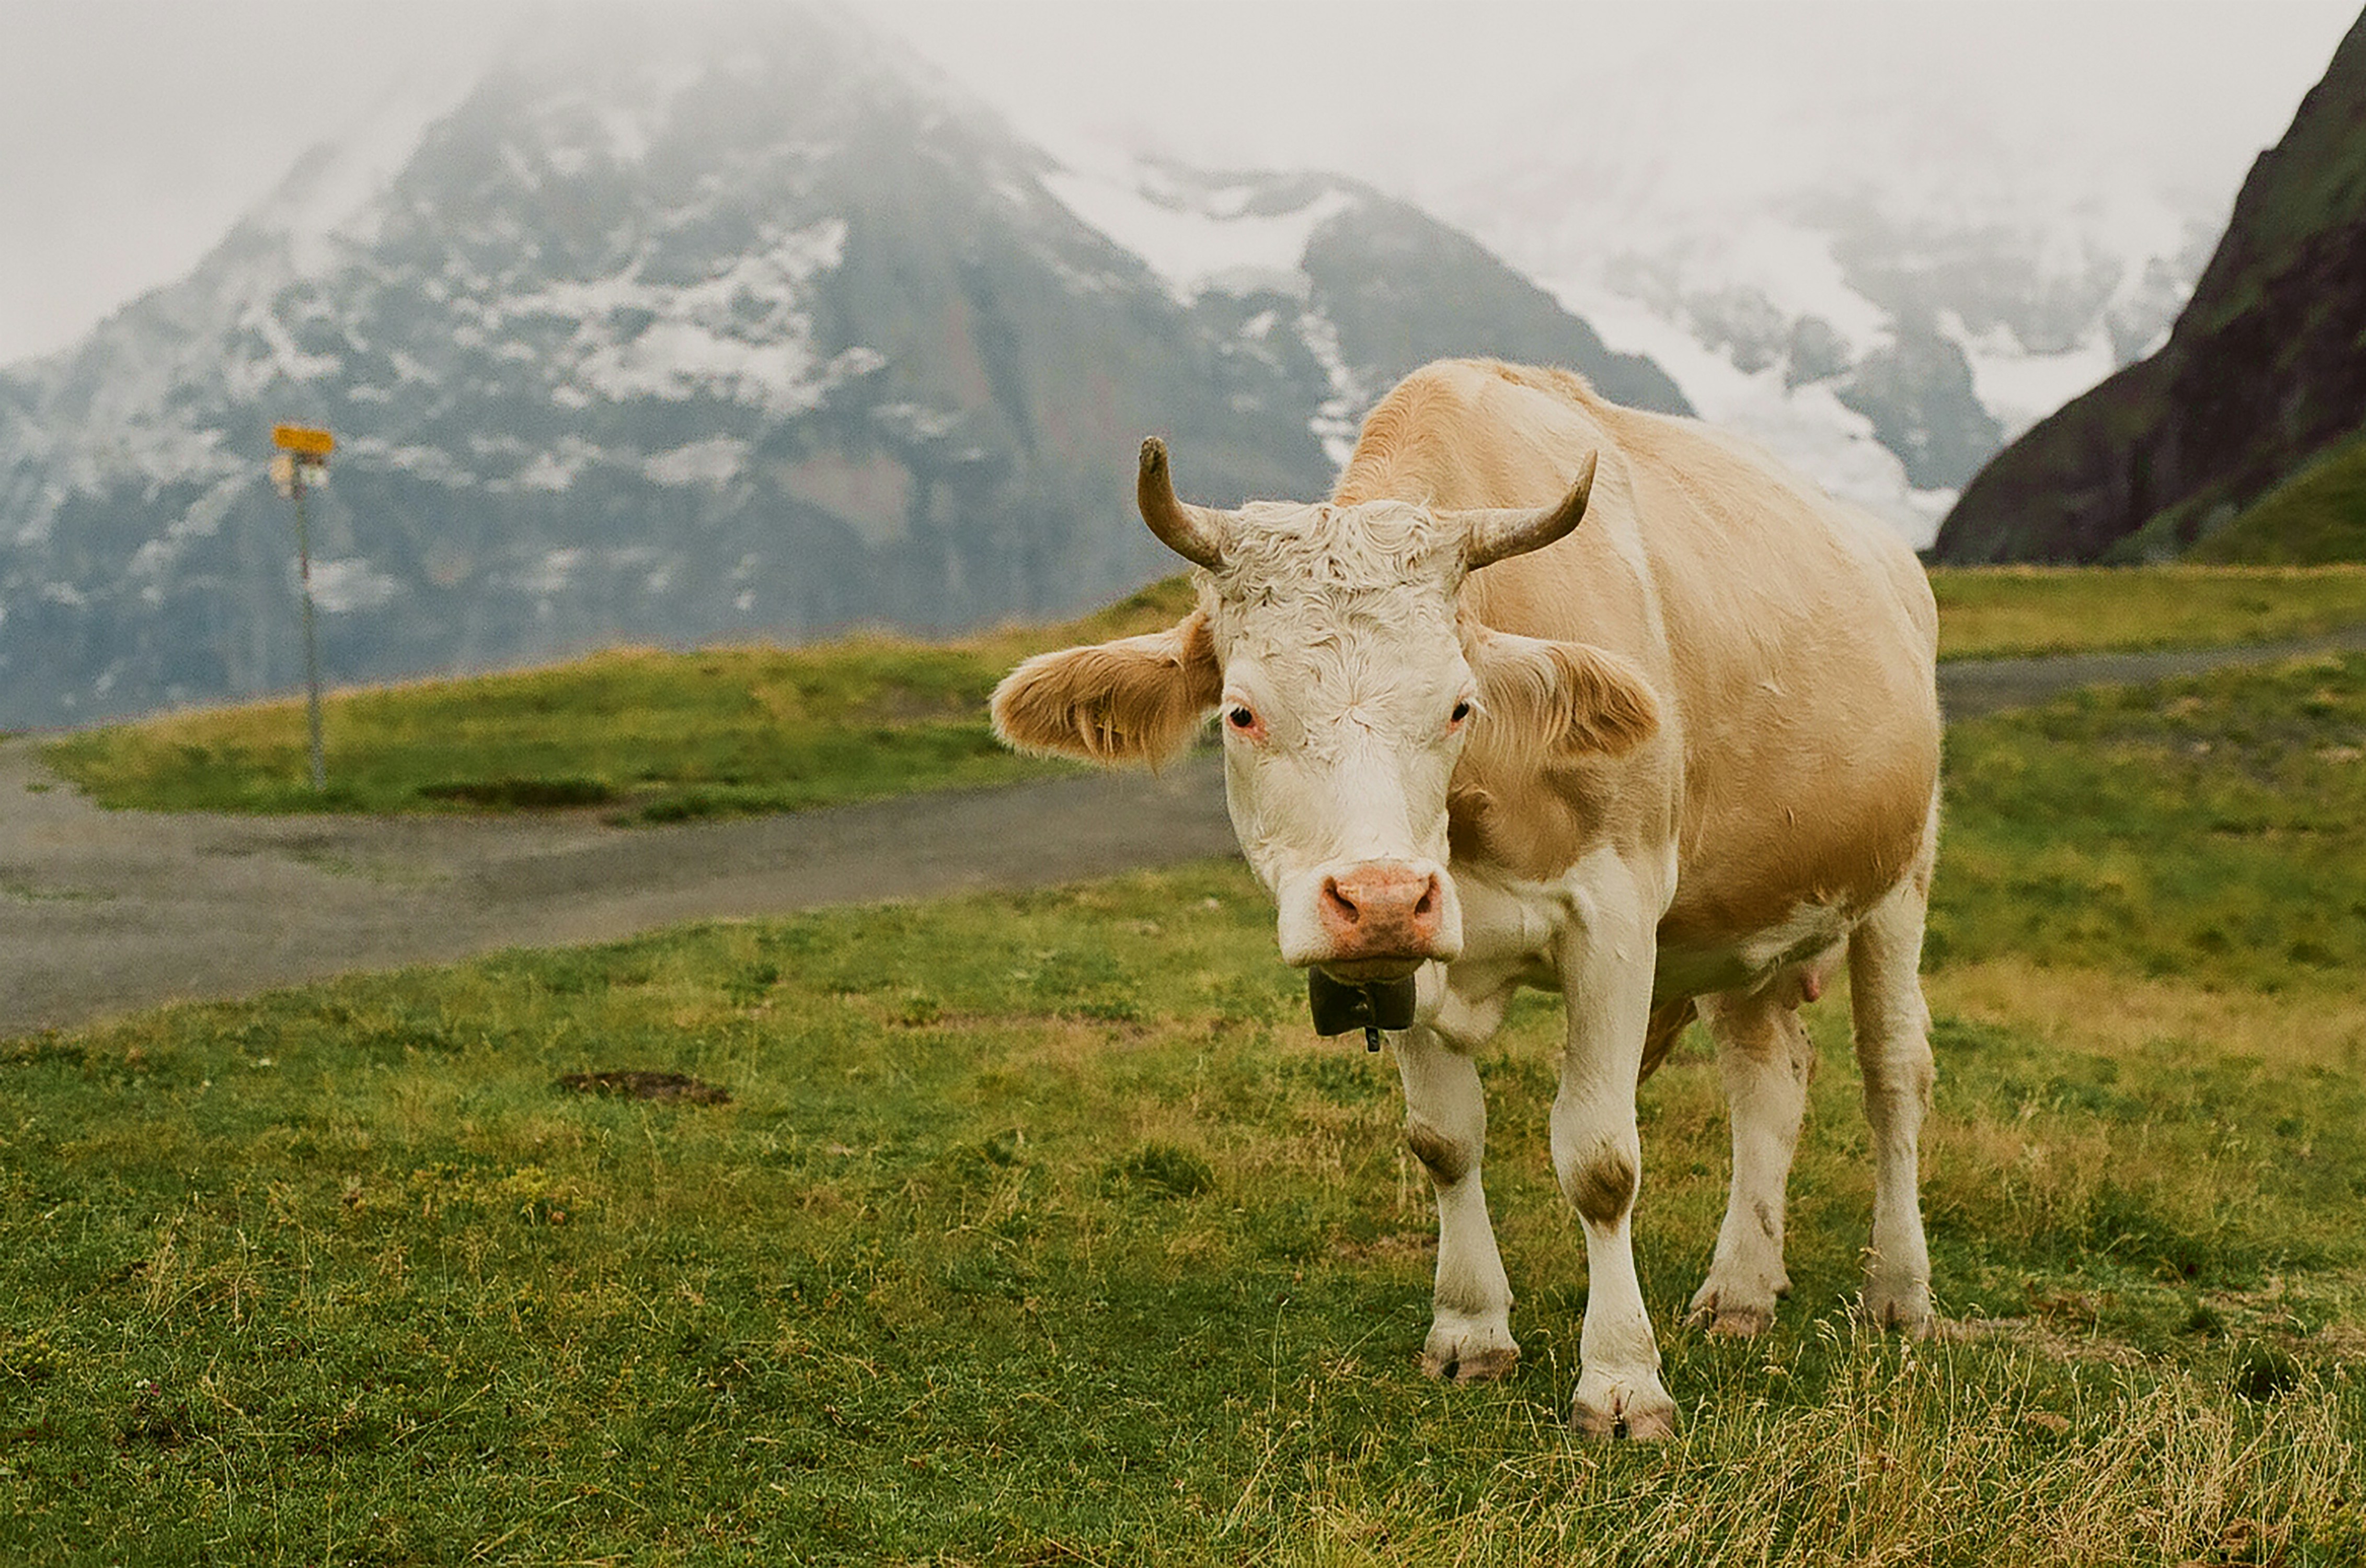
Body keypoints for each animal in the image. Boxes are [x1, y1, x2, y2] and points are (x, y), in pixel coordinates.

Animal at [991, 359, 1940, 1438]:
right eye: (1240, 712)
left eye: (1457, 706)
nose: (1381, 895)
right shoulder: (1396, 959)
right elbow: (1444, 1141)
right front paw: (1470, 1330)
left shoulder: (1616, 918)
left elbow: (1601, 1160)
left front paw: (1621, 1381)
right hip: (1743, 920)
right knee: (1768, 1077)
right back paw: (1741, 1290)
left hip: (1900, 876)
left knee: (1892, 1073)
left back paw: (1899, 1292)